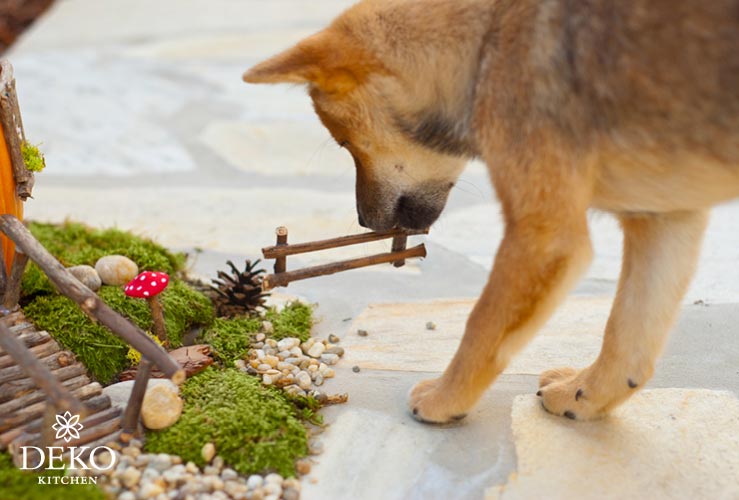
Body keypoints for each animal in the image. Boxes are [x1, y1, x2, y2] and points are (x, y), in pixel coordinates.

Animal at [247, 0, 739, 422]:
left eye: (345, 143)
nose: (365, 223)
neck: (485, 44)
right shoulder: (663, 219)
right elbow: (627, 338)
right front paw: (582, 395)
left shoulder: (542, 236)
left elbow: (481, 327)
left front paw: (446, 398)